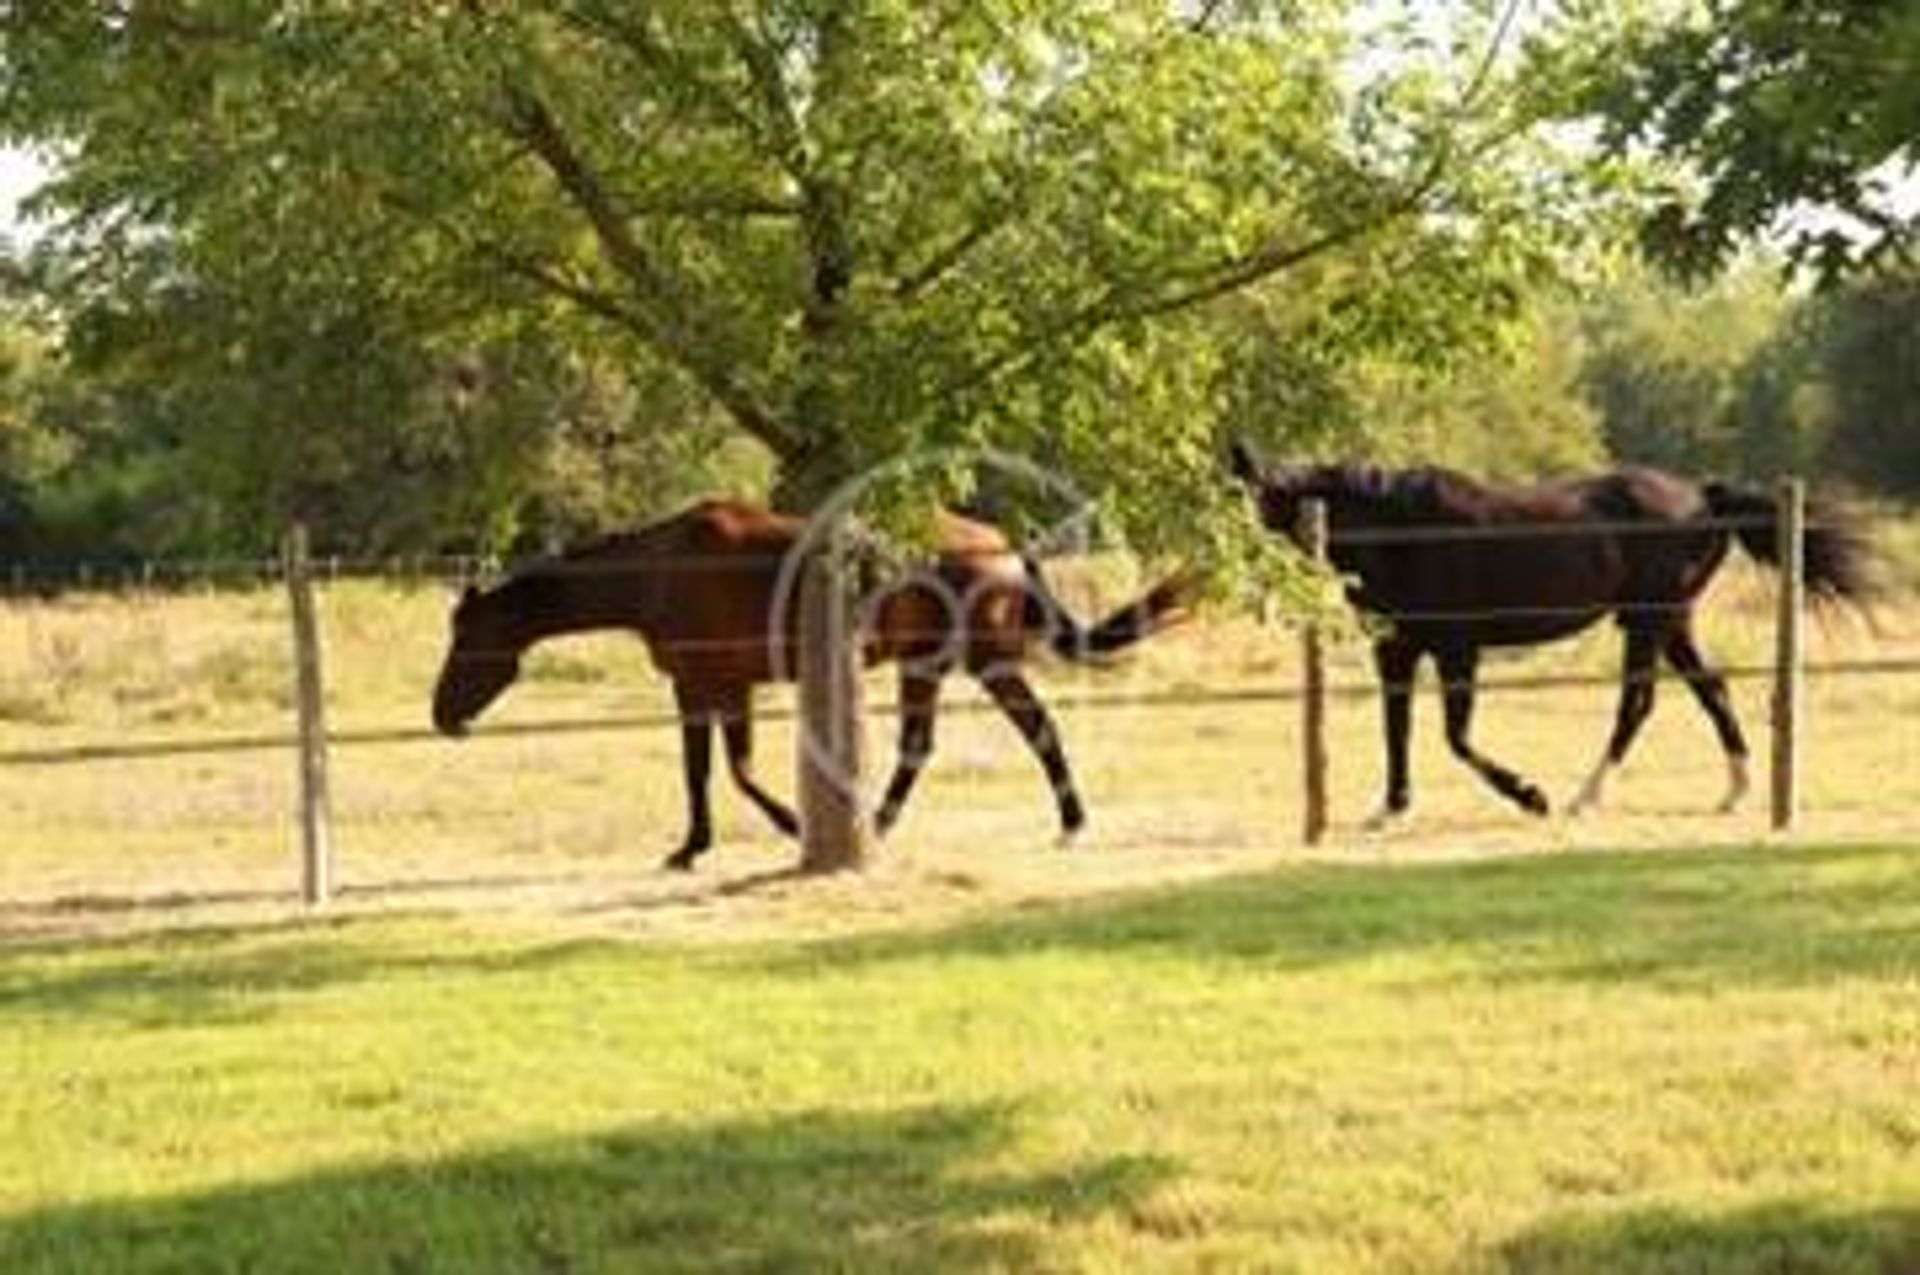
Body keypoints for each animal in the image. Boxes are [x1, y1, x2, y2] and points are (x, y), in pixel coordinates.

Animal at [430, 499, 1190, 867]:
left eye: (467, 639)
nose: (440, 715)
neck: (661, 568)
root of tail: (1004, 547)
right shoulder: (720, 688)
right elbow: (722, 769)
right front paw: (707, 842)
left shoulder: (705, 686)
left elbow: (719, 771)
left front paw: (753, 832)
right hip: (926, 666)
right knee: (921, 747)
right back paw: (879, 822)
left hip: (987, 665)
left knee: (1038, 732)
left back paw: (1070, 823)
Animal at [1228, 445, 1873, 825]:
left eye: (1252, 502)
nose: (1234, 574)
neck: (1403, 530)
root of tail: (1704, 498)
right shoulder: (1397, 650)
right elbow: (1399, 730)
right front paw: (1392, 808)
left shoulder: (1458, 650)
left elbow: (1456, 737)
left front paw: (1529, 795)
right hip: (1669, 623)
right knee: (1711, 690)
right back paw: (1735, 792)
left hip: (1648, 621)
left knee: (1637, 703)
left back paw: (1583, 798)